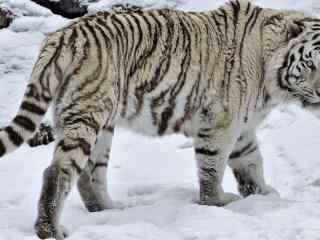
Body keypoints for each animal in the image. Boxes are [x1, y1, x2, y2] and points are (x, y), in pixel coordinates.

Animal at [0, 0, 320, 239]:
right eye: (311, 63)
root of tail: (60, 37)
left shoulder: (242, 129)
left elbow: (252, 164)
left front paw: (264, 196)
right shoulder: (220, 124)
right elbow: (212, 169)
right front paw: (217, 203)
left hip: (100, 124)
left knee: (90, 174)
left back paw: (108, 210)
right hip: (87, 114)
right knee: (57, 171)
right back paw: (50, 230)